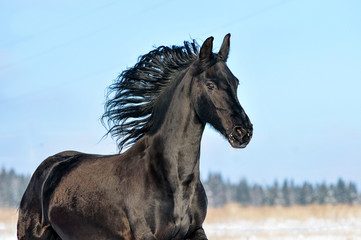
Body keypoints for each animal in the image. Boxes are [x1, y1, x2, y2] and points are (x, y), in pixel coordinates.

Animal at [16, 34, 252, 240]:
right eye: (210, 84)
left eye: (236, 82)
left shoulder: (195, 231)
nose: (244, 132)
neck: (173, 182)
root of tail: (46, 168)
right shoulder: (146, 235)